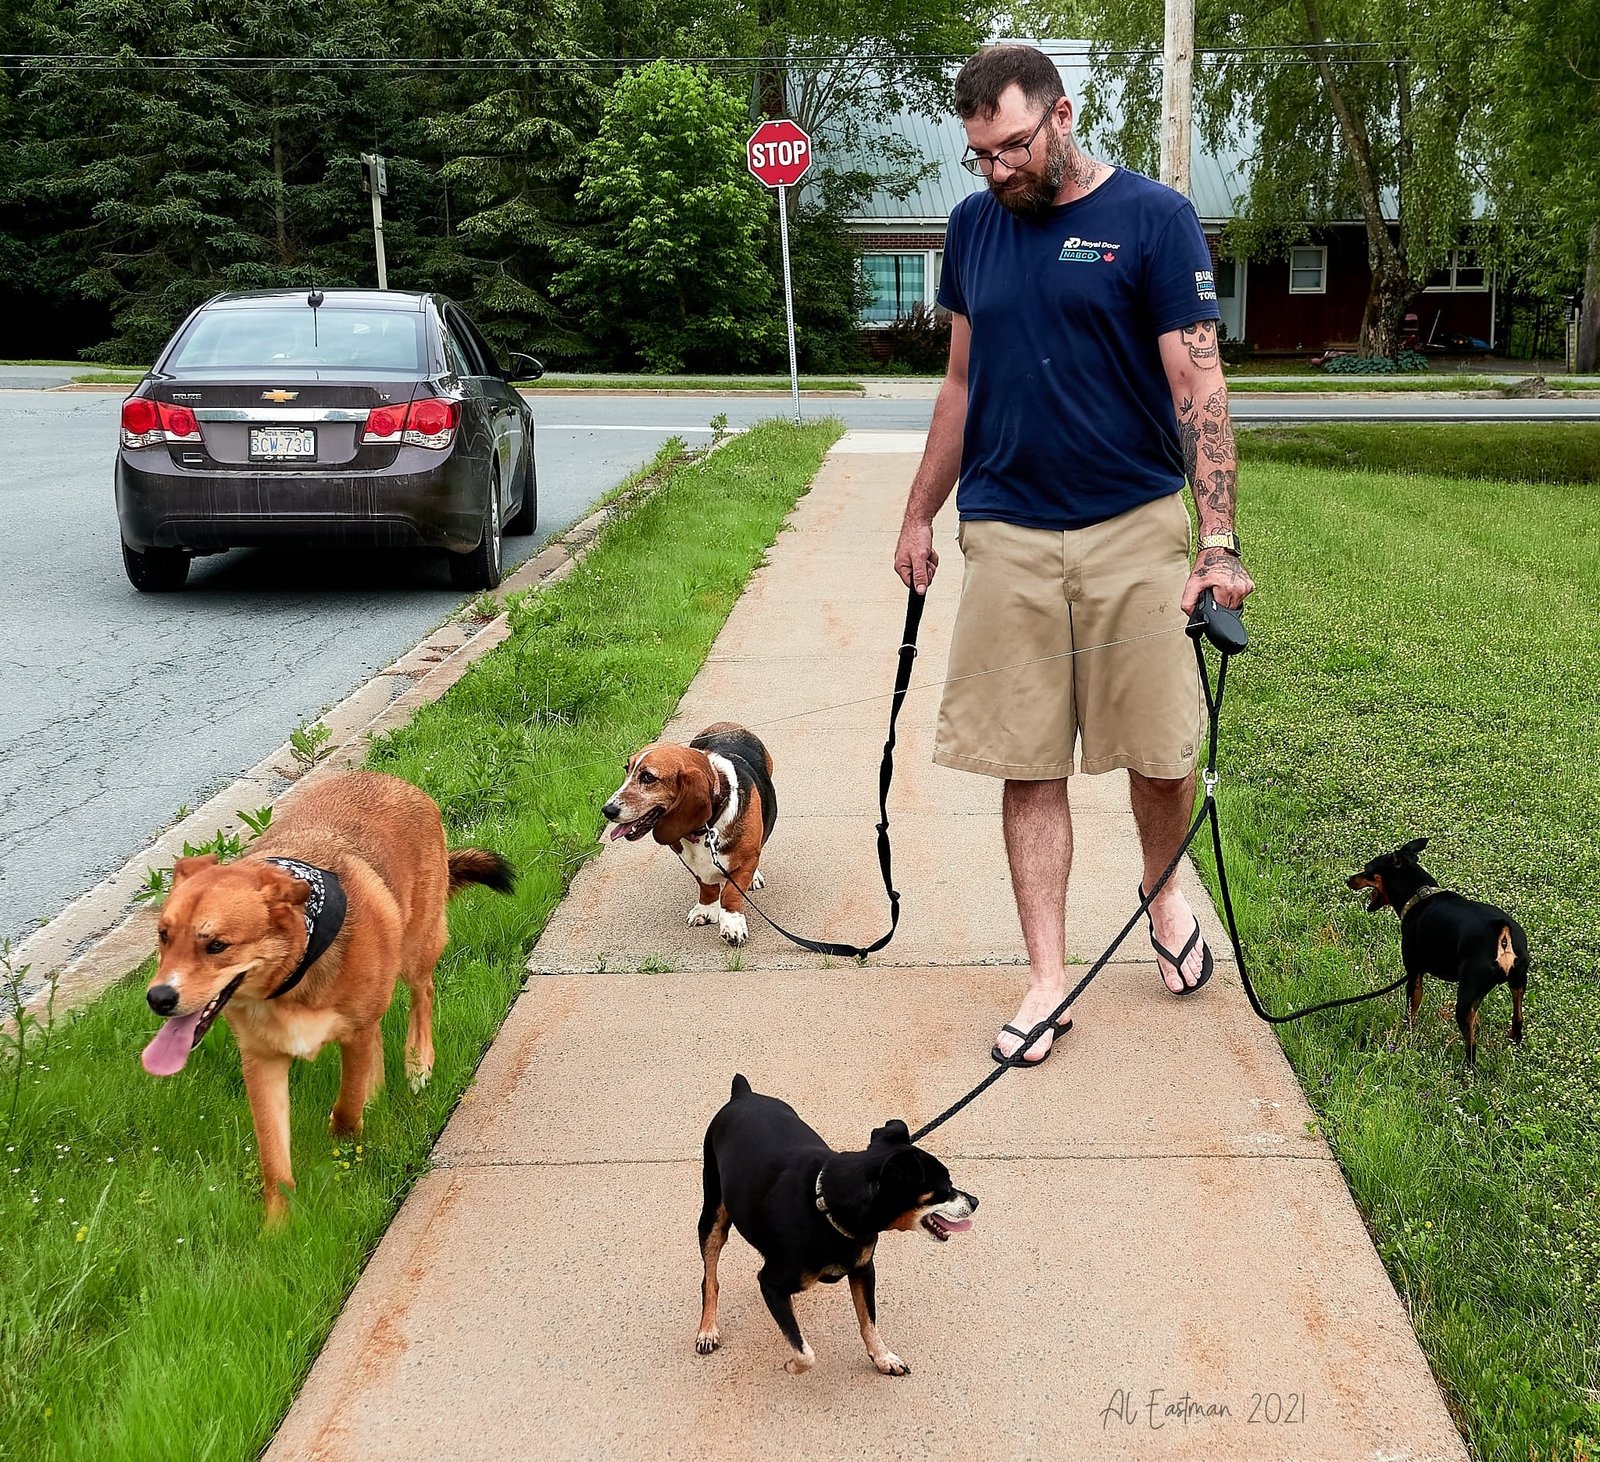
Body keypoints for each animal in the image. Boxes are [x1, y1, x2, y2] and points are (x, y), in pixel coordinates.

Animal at [697, 1068, 979, 1369]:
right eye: (945, 1187)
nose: (975, 1201)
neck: (826, 1209)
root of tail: (743, 1094)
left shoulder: (863, 1269)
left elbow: (868, 1321)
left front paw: (882, 1357)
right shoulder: (770, 1282)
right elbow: (805, 1352)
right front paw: (792, 1364)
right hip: (712, 1214)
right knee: (710, 1278)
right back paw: (707, 1330)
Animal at [1356, 838, 1529, 1068]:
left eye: (1367, 870)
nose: (1349, 880)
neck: (1419, 895)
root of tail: (1502, 931)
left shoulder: (1414, 973)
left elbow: (1410, 1012)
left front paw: (1405, 1035)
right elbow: (1476, 1019)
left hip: (1465, 998)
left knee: (1471, 1046)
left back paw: (1467, 1071)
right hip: (1517, 982)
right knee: (1517, 1018)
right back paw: (1513, 1043)